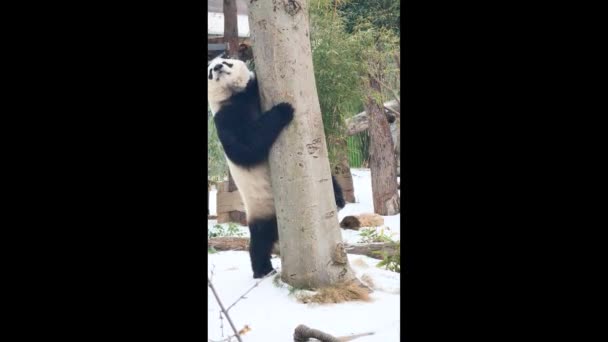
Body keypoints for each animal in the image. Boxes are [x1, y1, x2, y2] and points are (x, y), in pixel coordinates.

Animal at [207, 57, 344, 278]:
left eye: (226, 61)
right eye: (210, 71)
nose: (218, 67)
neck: (235, 95)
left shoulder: (250, 92)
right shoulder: (224, 117)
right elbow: (246, 148)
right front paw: (284, 109)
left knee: (331, 181)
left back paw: (339, 200)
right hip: (260, 208)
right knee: (260, 241)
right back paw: (263, 270)